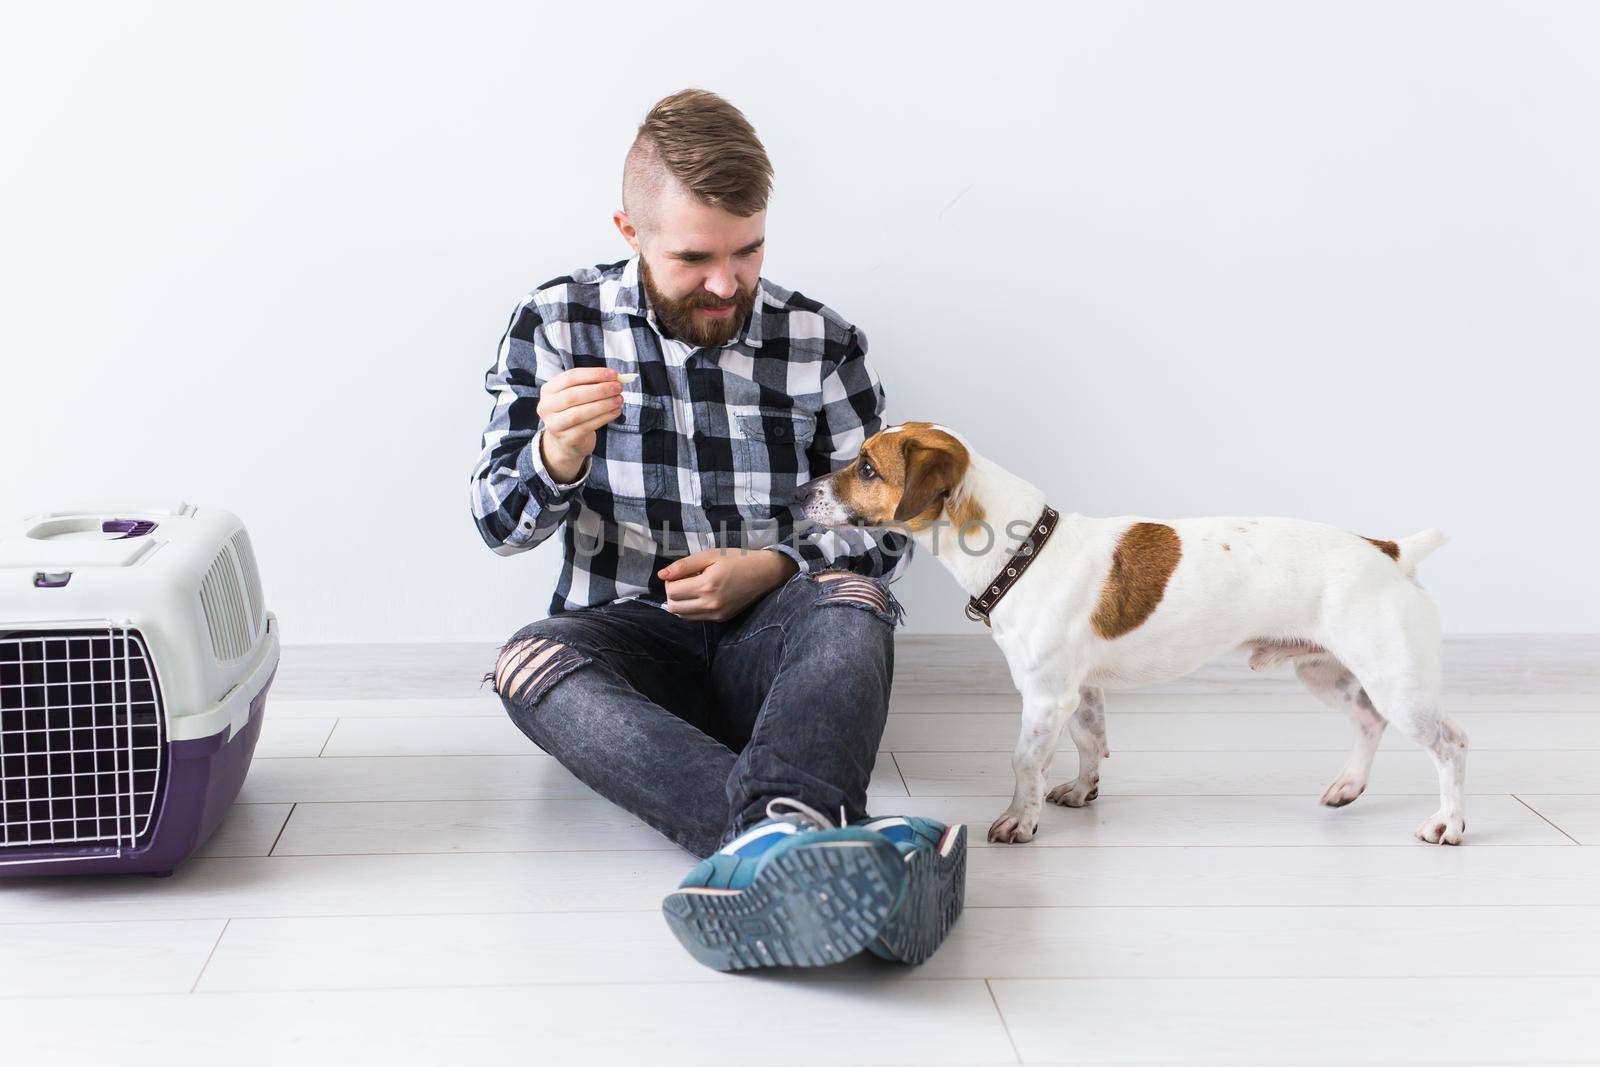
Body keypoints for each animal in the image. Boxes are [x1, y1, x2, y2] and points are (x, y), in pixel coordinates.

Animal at [796, 422, 1465, 844]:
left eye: (866, 467)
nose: (800, 491)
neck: (1022, 550)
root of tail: (1387, 549)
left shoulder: (1045, 696)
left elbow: (1024, 760)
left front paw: (1019, 821)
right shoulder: (1082, 691)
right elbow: (1091, 742)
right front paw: (1080, 790)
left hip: (1395, 681)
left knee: (1450, 744)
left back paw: (1448, 824)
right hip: (1326, 672)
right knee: (1368, 722)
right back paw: (1349, 787)